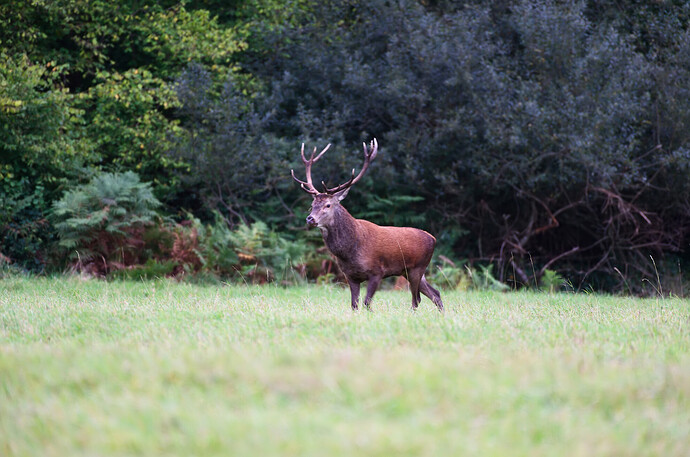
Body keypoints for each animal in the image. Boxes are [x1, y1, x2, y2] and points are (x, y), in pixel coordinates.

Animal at [291, 139, 444, 312]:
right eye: (312, 205)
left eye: (328, 205)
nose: (310, 219)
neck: (349, 251)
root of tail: (433, 239)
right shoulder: (350, 276)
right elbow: (354, 305)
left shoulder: (377, 272)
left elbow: (366, 303)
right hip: (410, 271)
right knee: (435, 293)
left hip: (417, 268)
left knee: (416, 299)